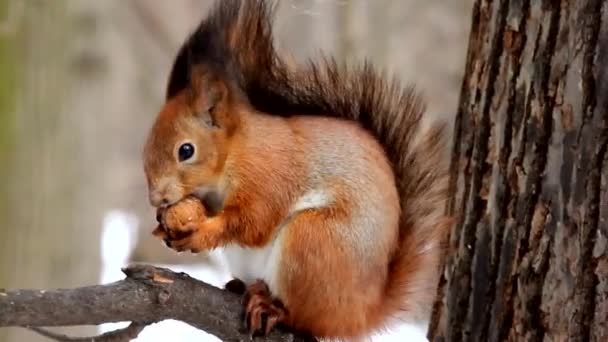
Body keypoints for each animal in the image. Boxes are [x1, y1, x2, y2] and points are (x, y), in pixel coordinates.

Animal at [144, 0, 452, 340]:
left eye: (186, 150)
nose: (156, 198)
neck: (234, 154)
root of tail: (361, 314)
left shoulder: (268, 175)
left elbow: (253, 221)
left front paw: (200, 232)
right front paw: (163, 222)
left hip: (313, 243)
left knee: (305, 318)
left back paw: (271, 307)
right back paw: (242, 287)